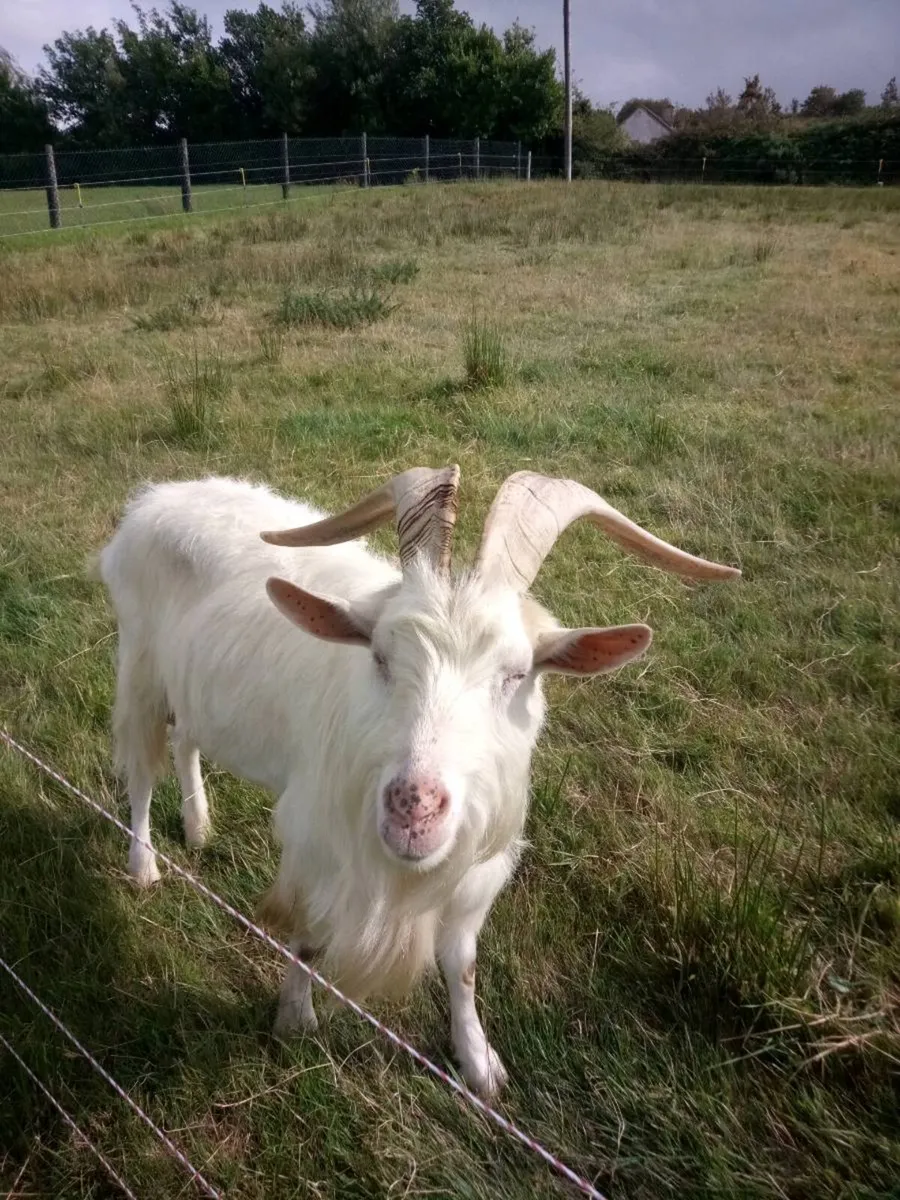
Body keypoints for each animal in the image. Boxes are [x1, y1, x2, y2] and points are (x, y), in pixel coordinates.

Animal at [96, 467, 739, 1096]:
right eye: (380, 656)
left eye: (517, 673)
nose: (414, 807)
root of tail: (158, 497)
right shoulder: (317, 838)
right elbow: (308, 929)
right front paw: (295, 1020)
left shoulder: (478, 867)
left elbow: (462, 963)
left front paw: (479, 1063)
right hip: (140, 664)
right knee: (141, 771)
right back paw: (144, 864)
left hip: (191, 682)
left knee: (186, 738)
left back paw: (199, 826)